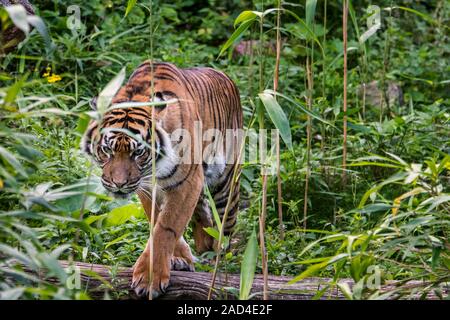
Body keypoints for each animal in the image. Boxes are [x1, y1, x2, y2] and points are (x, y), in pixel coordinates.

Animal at [81, 60, 243, 298]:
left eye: (138, 152)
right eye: (107, 150)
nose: (118, 184)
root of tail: (225, 76)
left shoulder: (186, 182)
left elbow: (166, 227)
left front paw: (150, 278)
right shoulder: (147, 187)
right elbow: (158, 219)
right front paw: (180, 258)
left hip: (226, 184)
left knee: (225, 227)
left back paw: (219, 263)